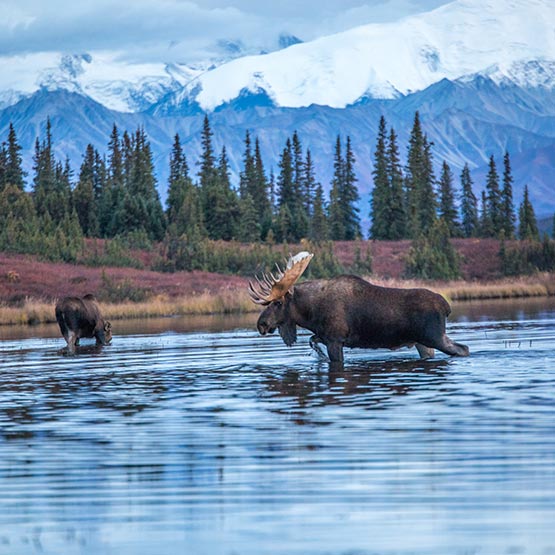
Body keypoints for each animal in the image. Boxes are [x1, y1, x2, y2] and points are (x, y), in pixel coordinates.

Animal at [250, 252, 472, 364]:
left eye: (278, 303)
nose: (261, 324)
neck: (310, 314)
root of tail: (446, 306)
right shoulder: (324, 335)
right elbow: (312, 341)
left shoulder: (335, 339)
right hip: (422, 342)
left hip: (434, 336)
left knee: (463, 349)